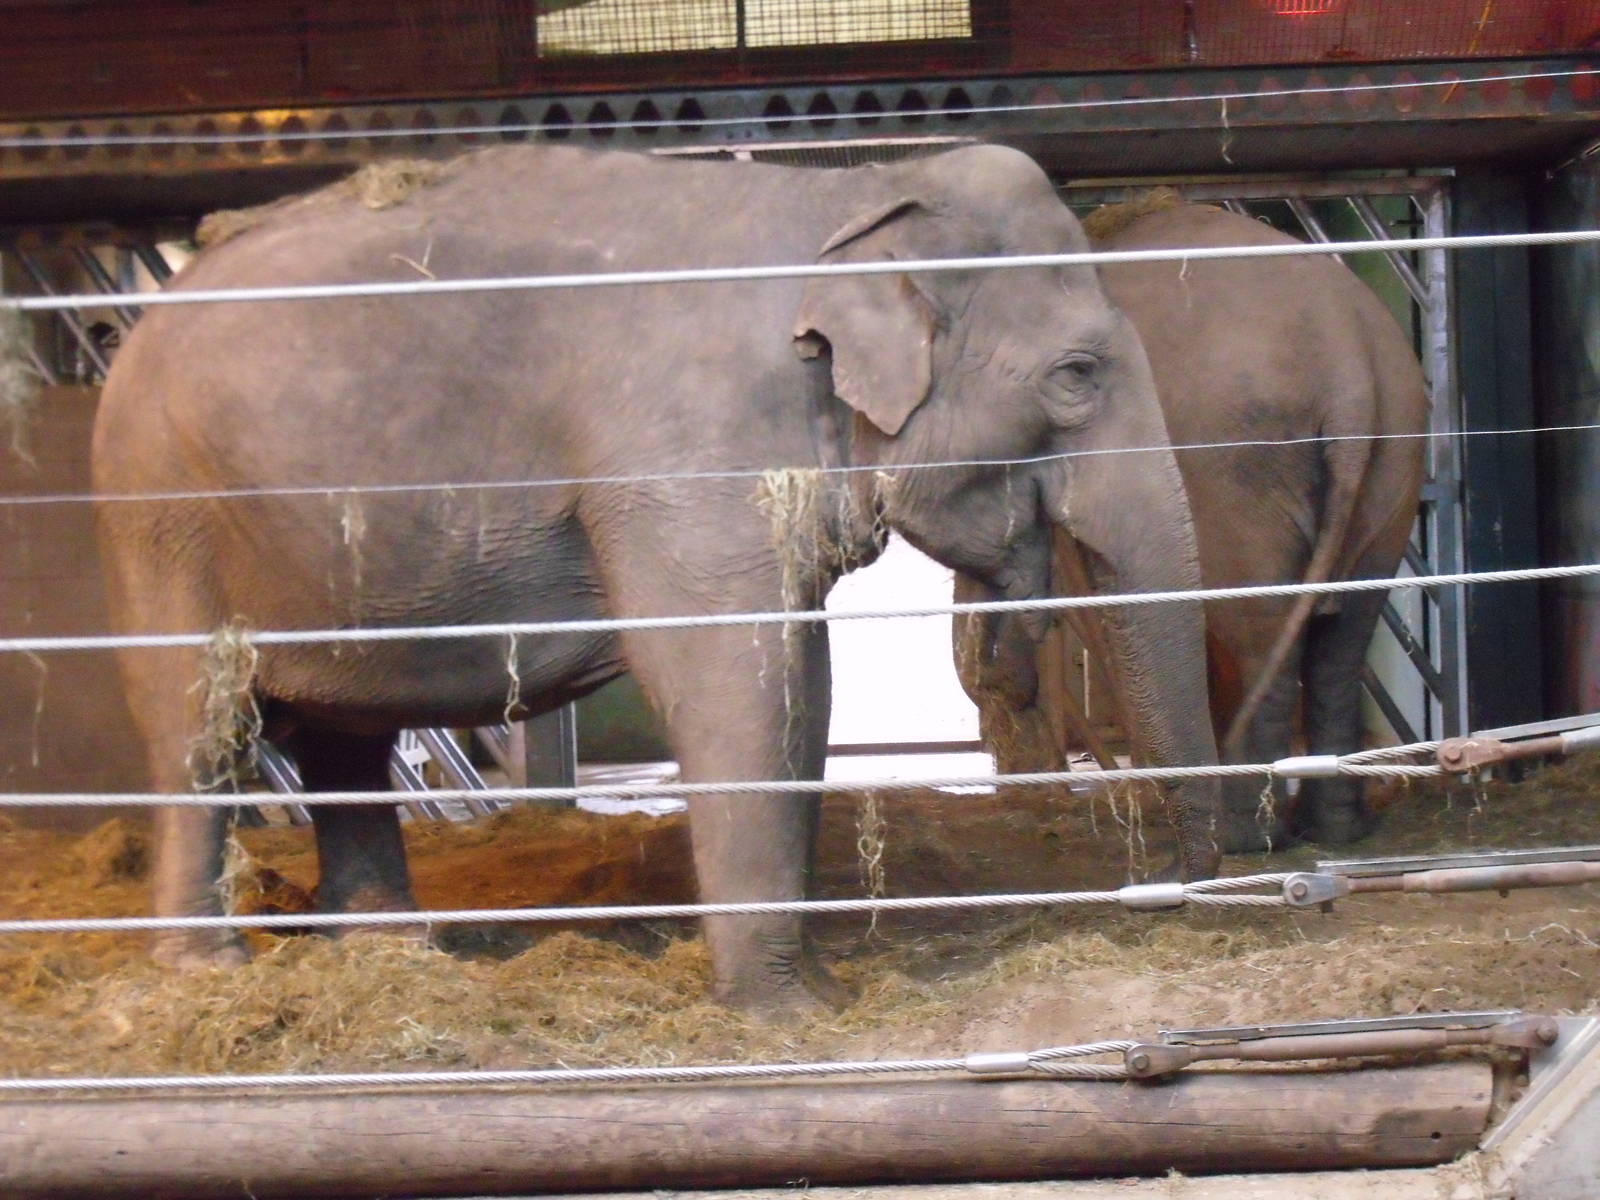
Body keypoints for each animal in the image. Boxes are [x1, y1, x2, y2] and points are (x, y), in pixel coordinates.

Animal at [94, 143, 1221, 1014]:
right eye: (1077, 376)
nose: (1181, 887)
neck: (847, 197)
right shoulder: (688, 453)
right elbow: (744, 678)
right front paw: (785, 1012)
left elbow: (796, 684)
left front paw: (806, 991)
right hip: (163, 521)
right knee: (199, 724)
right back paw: (208, 971)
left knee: (348, 738)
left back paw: (396, 953)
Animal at [958, 198, 1426, 853]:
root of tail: (1350, 365)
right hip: (1394, 464)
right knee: (1343, 637)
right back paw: (1336, 831)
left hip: (1233, 468)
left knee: (1259, 635)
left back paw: (1247, 836)